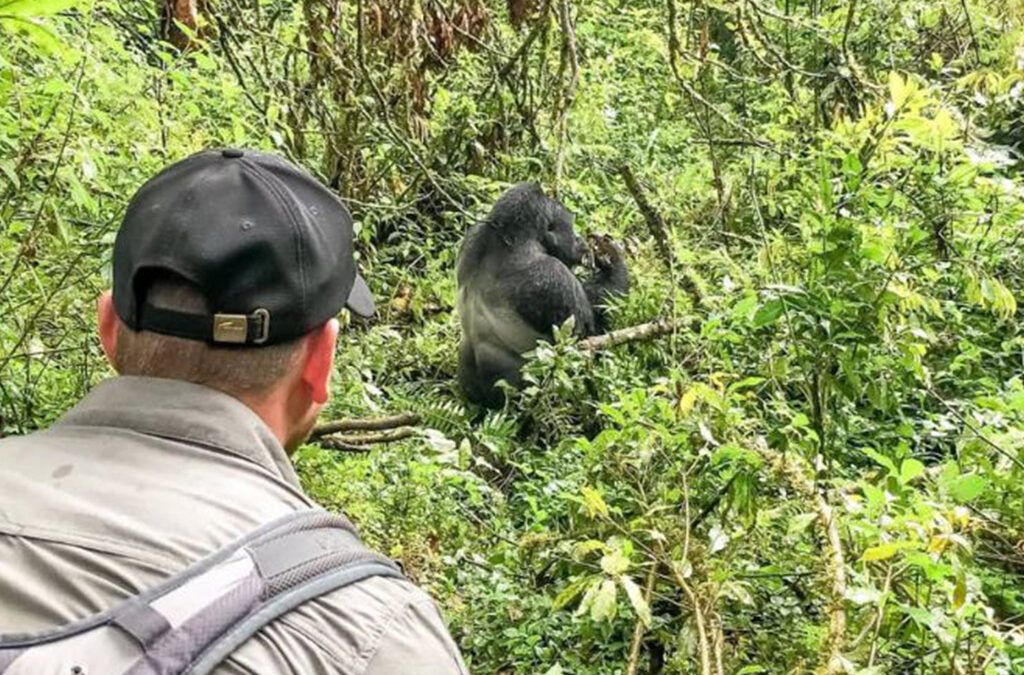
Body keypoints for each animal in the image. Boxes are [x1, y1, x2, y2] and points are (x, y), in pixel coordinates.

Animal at [456, 182, 630, 407]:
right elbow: (584, 339)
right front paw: (612, 256)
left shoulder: (472, 235)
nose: (579, 239)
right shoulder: (553, 273)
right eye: (571, 228)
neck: (509, 238)